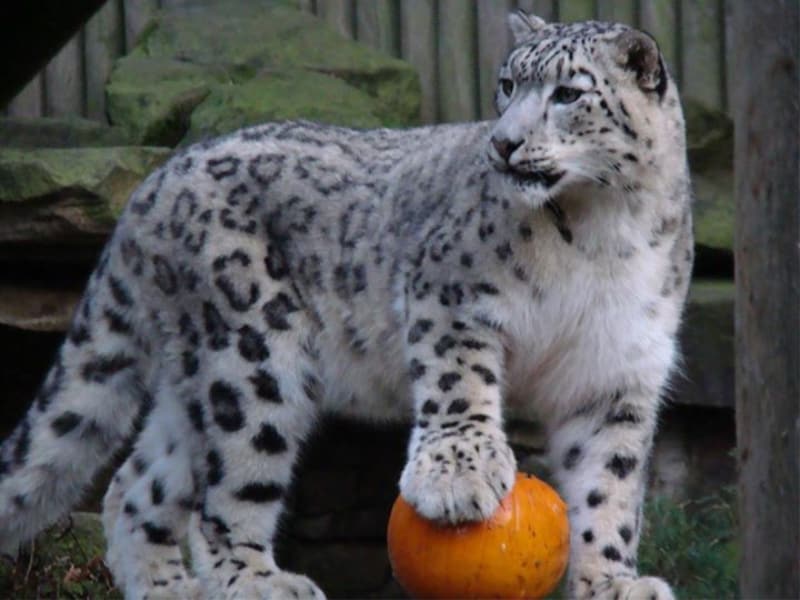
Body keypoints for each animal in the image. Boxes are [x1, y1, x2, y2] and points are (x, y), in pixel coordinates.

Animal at [0, 10, 692, 600]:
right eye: (507, 85)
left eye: (568, 94)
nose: (504, 143)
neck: (603, 231)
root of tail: (154, 184)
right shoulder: (451, 293)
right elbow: (459, 385)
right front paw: (457, 477)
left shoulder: (617, 371)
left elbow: (608, 484)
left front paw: (611, 581)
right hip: (251, 355)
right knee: (227, 487)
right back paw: (261, 582)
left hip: (193, 378)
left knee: (136, 484)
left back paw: (173, 589)